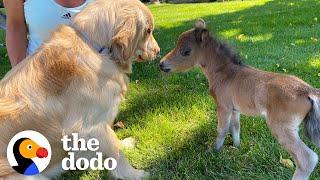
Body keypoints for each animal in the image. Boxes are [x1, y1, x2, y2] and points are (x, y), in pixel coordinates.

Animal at [0, 0, 159, 179]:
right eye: (148, 31)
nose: (158, 51)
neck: (95, 47)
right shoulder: (91, 125)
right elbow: (115, 151)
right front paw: (134, 174)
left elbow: (114, 142)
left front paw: (125, 143)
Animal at [160, 19, 320, 179]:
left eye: (186, 51)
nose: (161, 64)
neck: (225, 73)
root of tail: (308, 91)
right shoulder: (235, 109)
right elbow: (235, 127)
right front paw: (236, 148)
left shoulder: (223, 106)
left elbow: (222, 129)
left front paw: (214, 151)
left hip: (281, 126)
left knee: (307, 159)